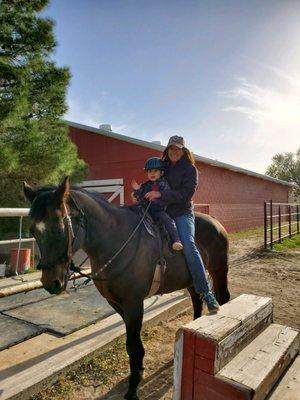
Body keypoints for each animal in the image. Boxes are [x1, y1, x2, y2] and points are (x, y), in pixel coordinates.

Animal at [23, 177, 230, 398]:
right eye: (33, 231)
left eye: (60, 229)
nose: (51, 283)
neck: (117, 240)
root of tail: (216, 222)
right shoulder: (115, 303)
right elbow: (133, 345)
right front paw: (137, 373)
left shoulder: (134, 303)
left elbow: (132, 344)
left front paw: (133, 388)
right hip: (192, 280)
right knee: (197, 303)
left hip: (219, 269)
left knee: (223, 297)